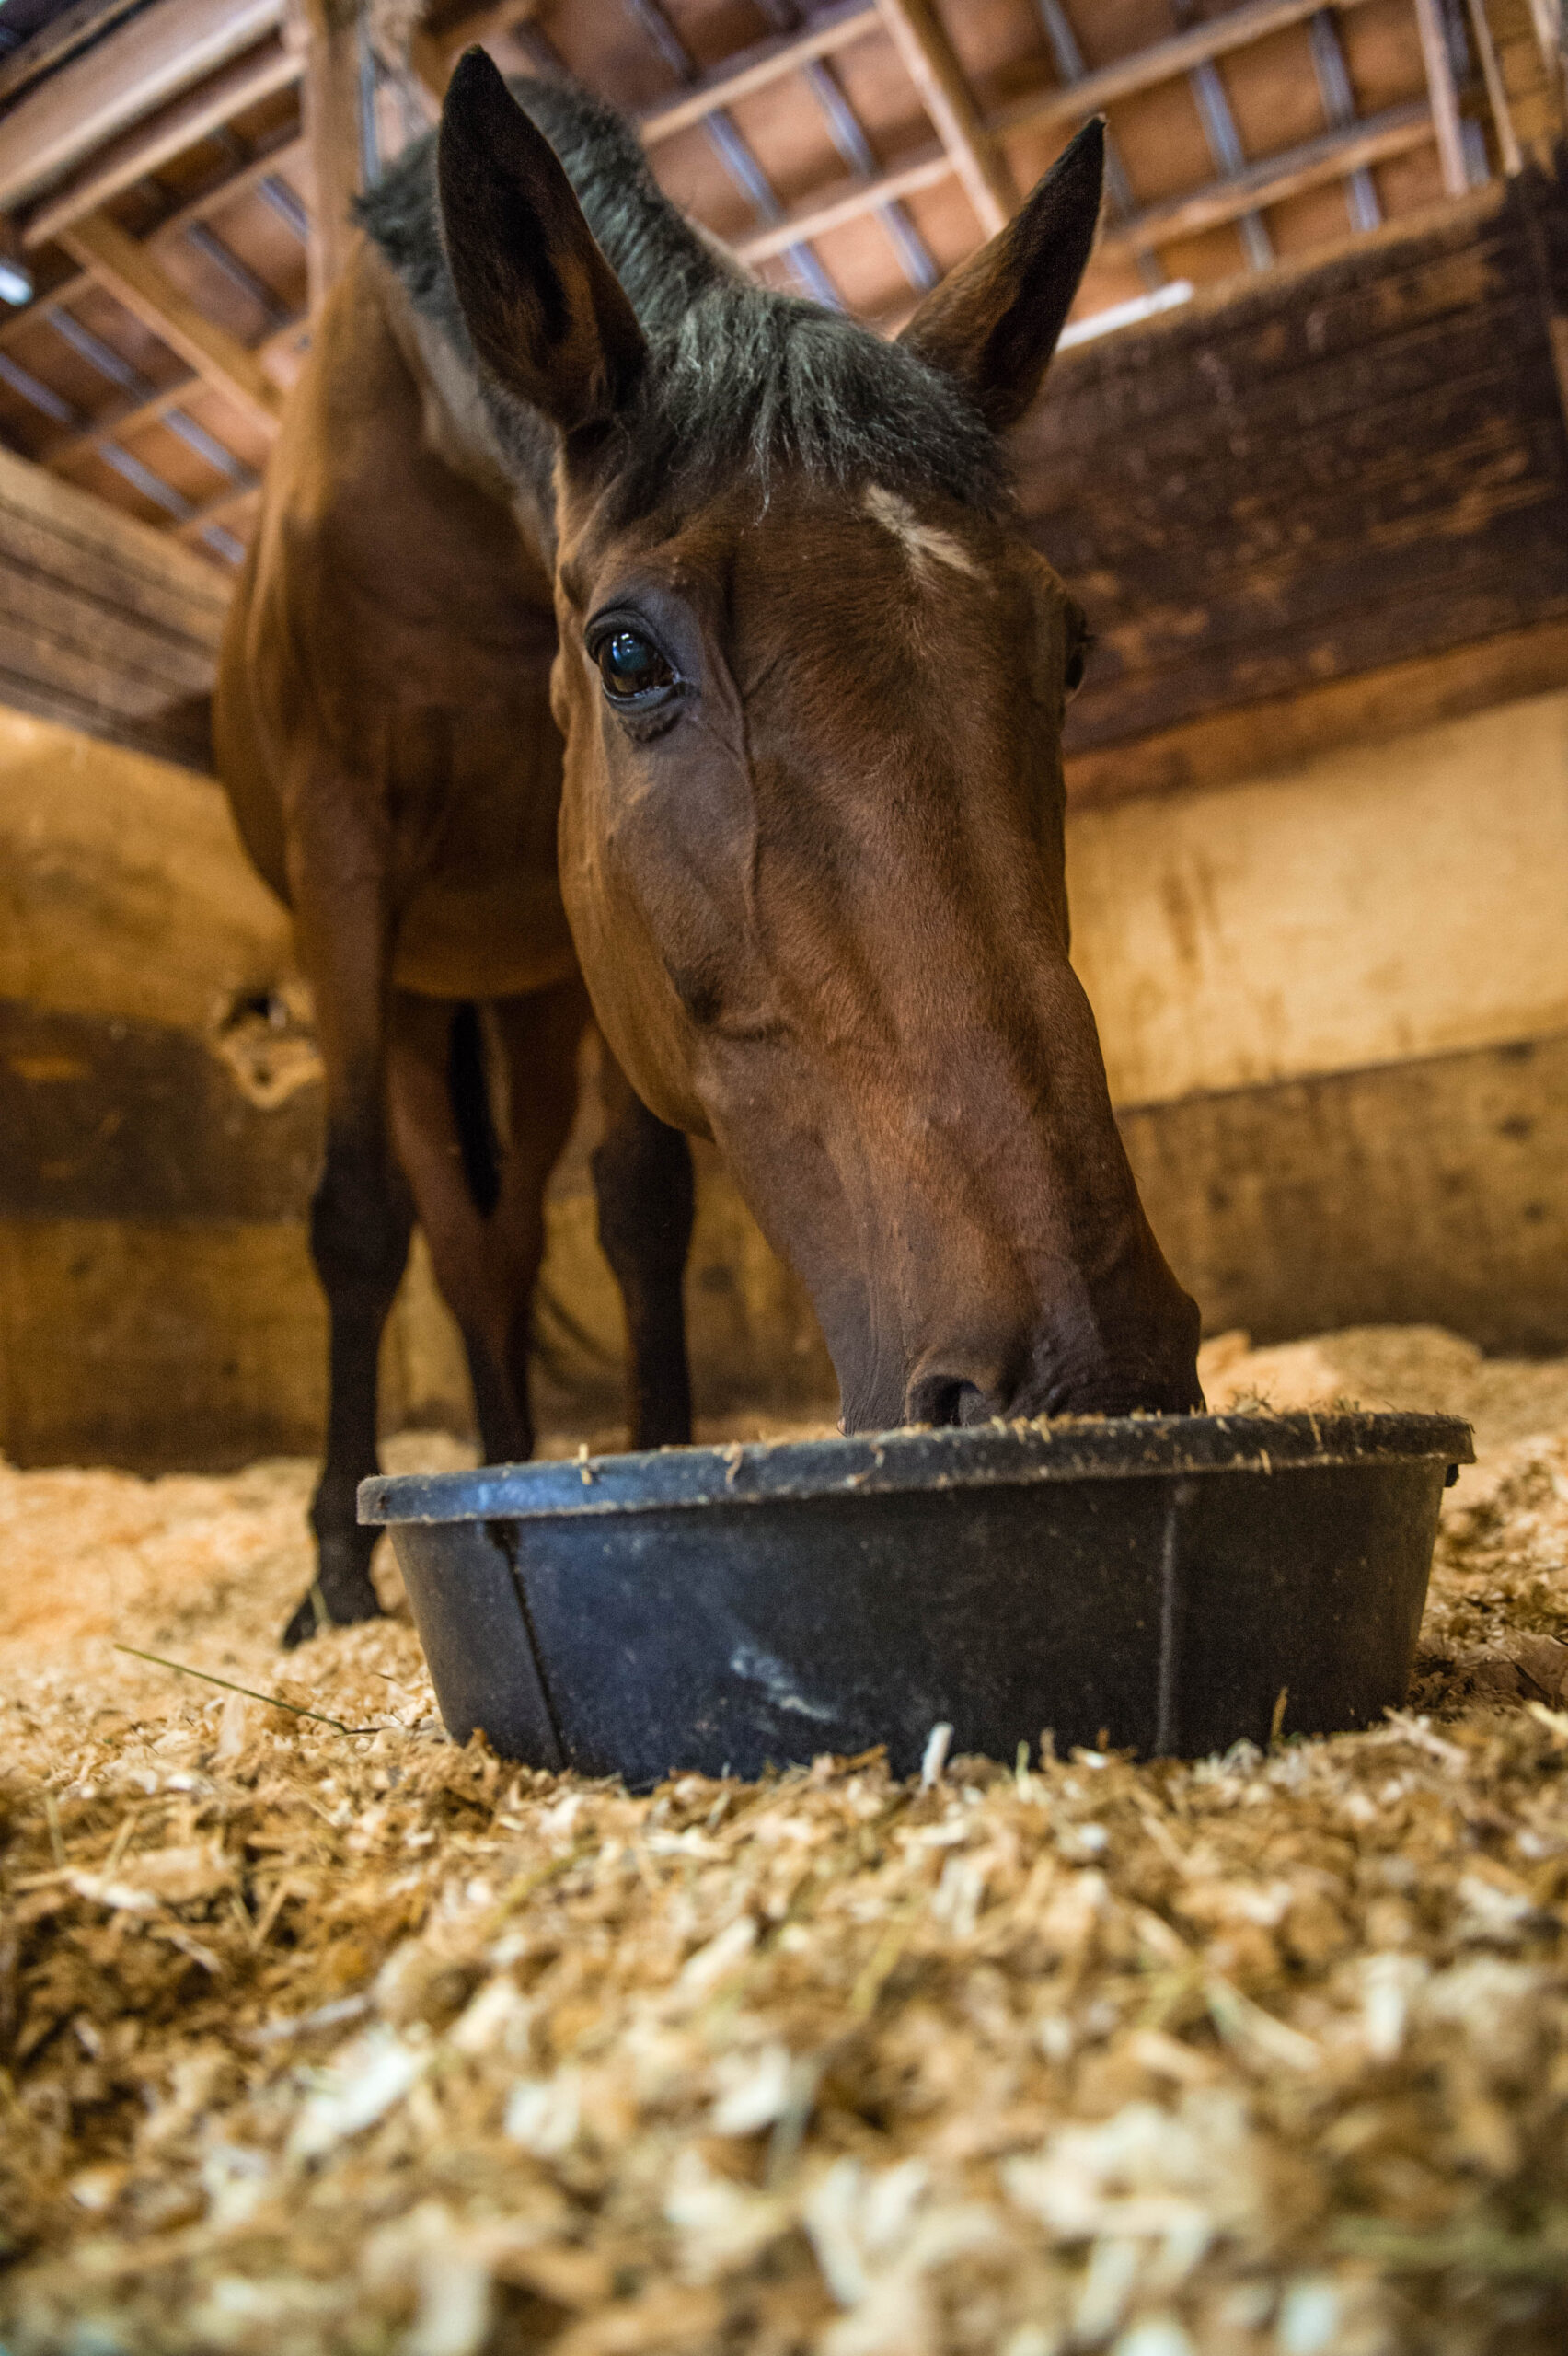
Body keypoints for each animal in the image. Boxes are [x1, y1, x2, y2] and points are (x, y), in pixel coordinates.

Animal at [213, 51, 1195, 1639]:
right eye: (628, 654)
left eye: (1072, 650)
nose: (1095, 1377)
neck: (437, 480)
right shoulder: (339, 862)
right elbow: (355, 1222)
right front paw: (333, 1573)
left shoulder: (596, 952)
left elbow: (641, 1206)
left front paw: (654, 1454)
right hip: (415, 1003)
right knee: (447, 1233)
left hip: (534, 1005)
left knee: (504, 1241)